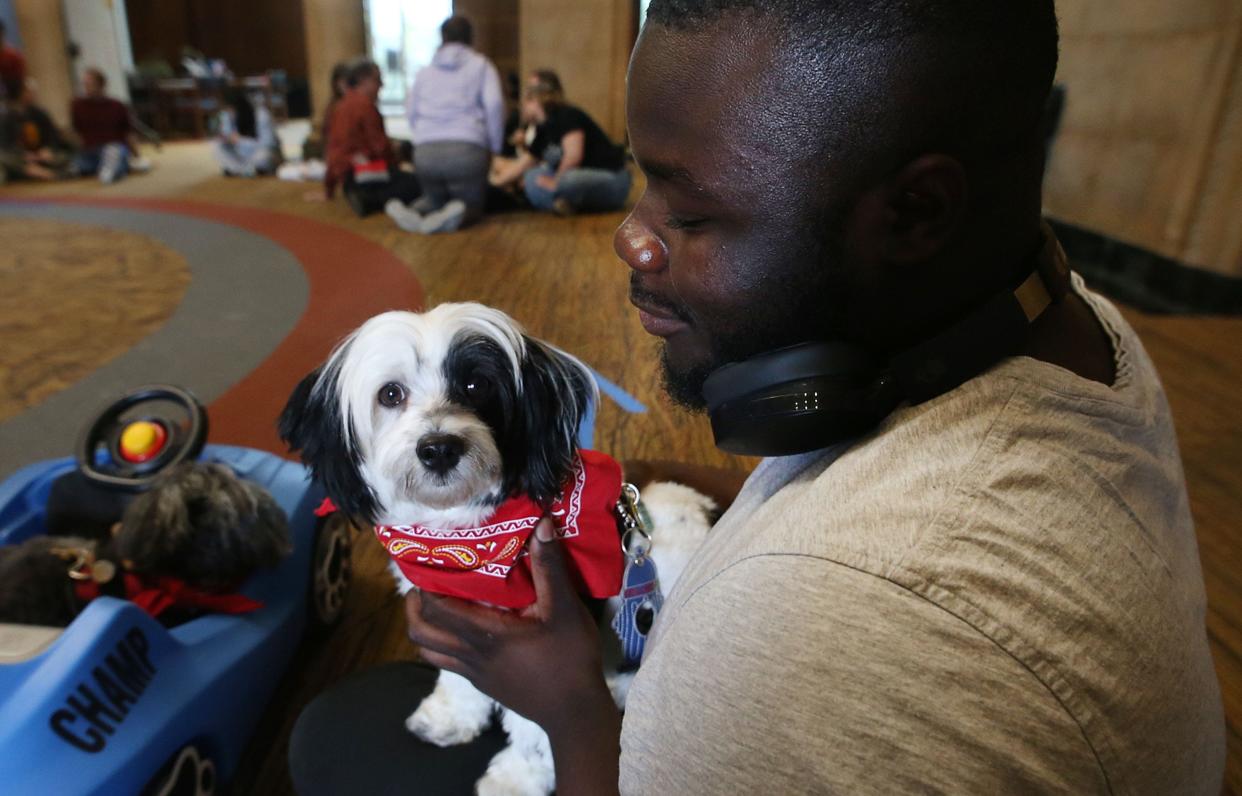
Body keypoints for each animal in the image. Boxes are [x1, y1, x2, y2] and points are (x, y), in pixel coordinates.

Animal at [276, 303, 715, 794]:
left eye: (476, 385)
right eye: (390, 394)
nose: (439, 447)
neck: (463, 538)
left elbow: (540, 724)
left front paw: (517, 780)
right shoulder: (453, 619)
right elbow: (462, 680)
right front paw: (451, 716)